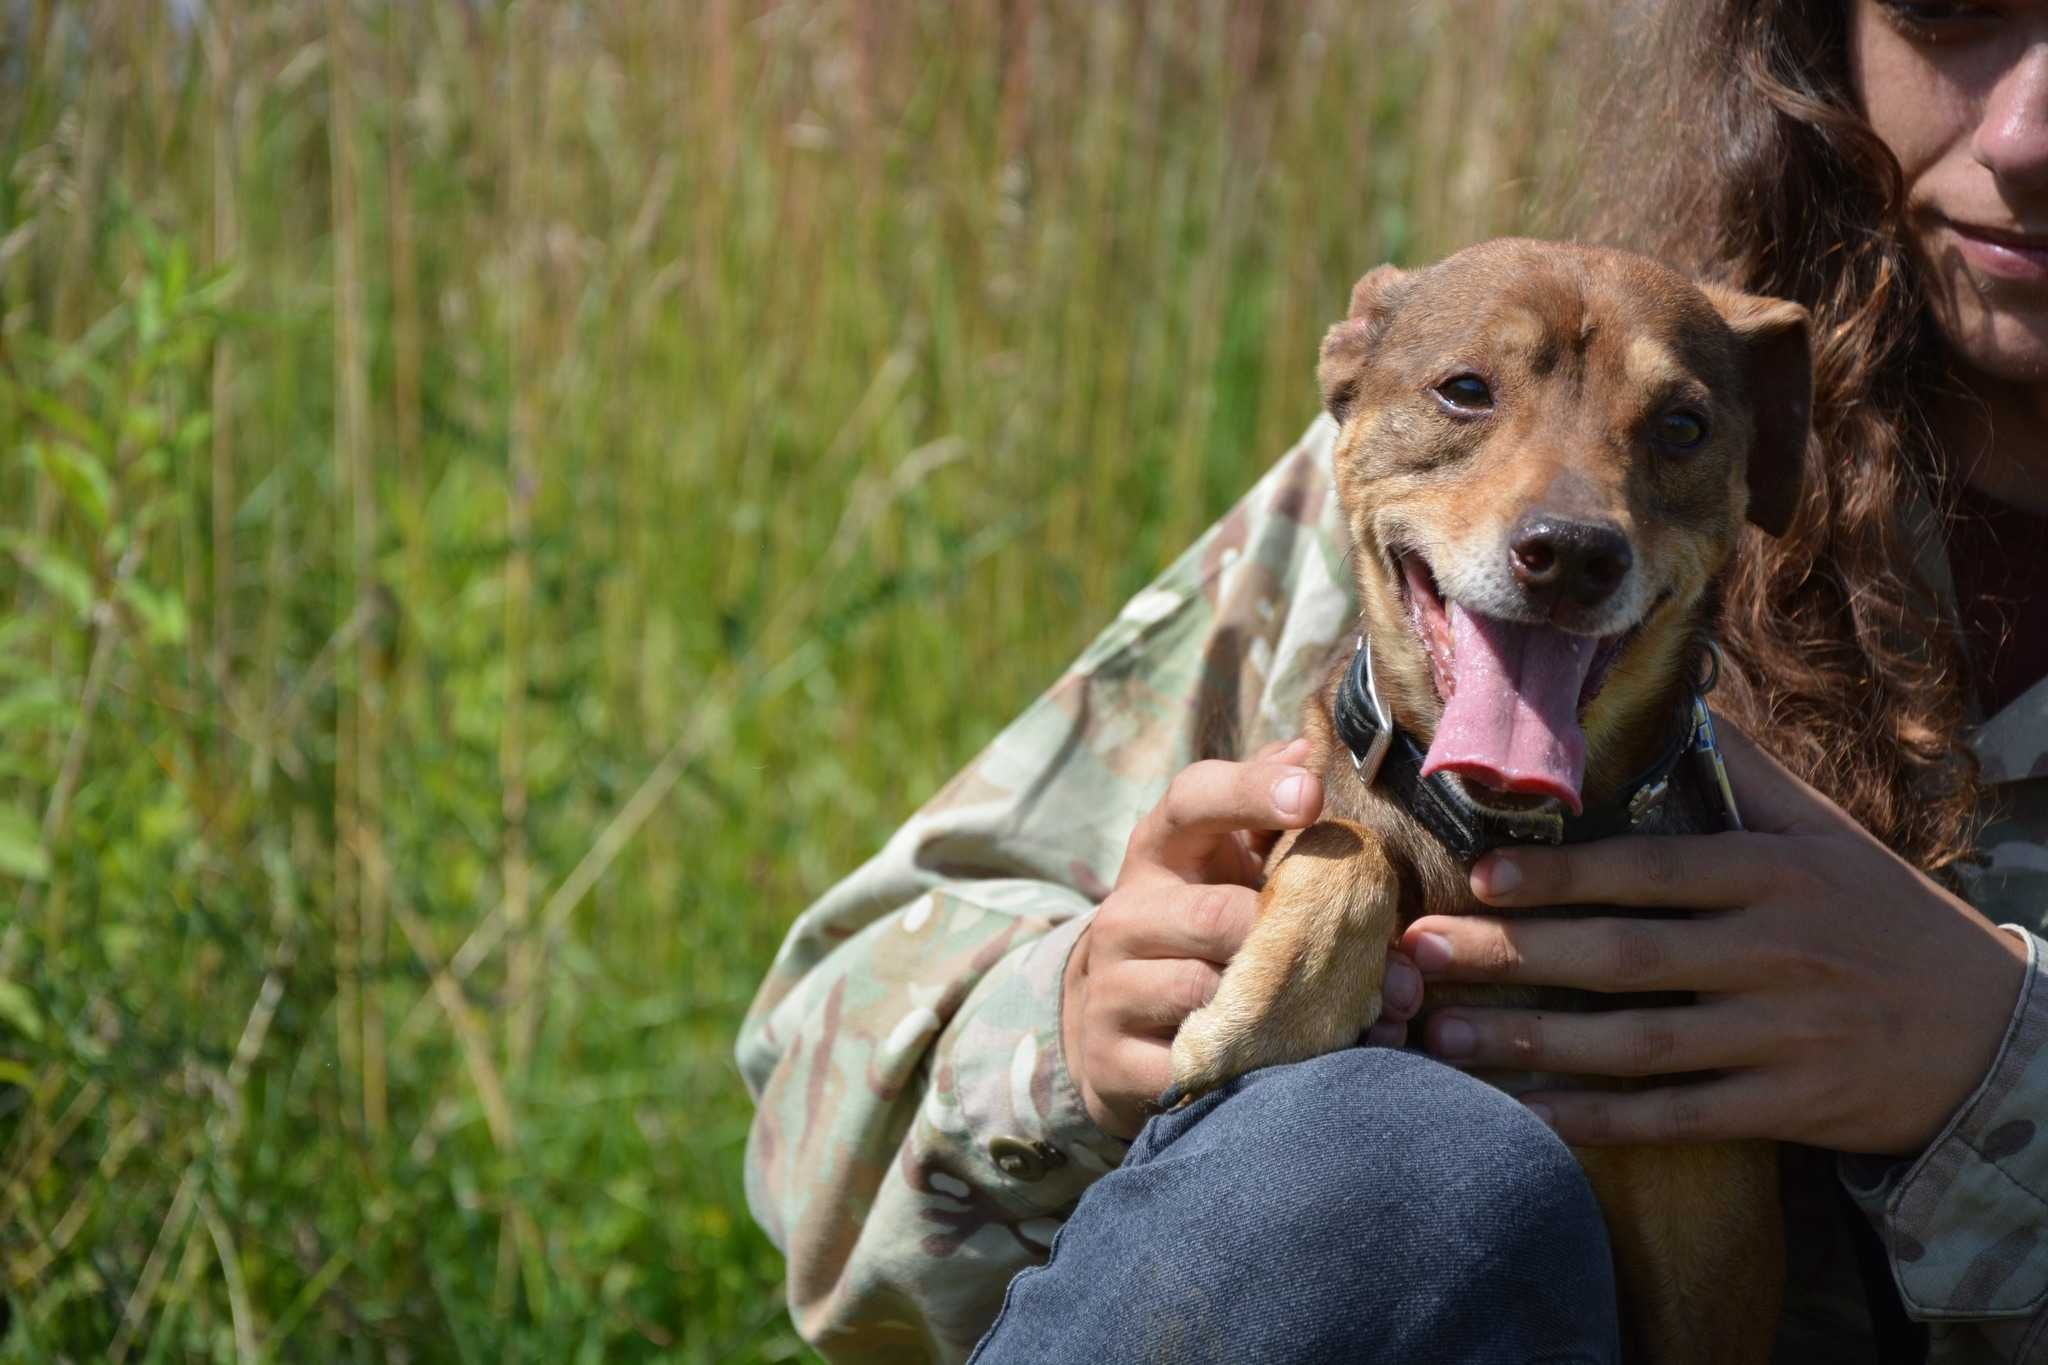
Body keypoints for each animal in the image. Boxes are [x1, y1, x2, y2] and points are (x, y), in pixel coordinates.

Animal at [1171, 240, 1810, 1358]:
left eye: (1681, 426)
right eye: (1465, 390)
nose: (1571, 553)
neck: (1491, 828)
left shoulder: (1708, 1262)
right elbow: (1343, 843)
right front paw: (1272, 1014)